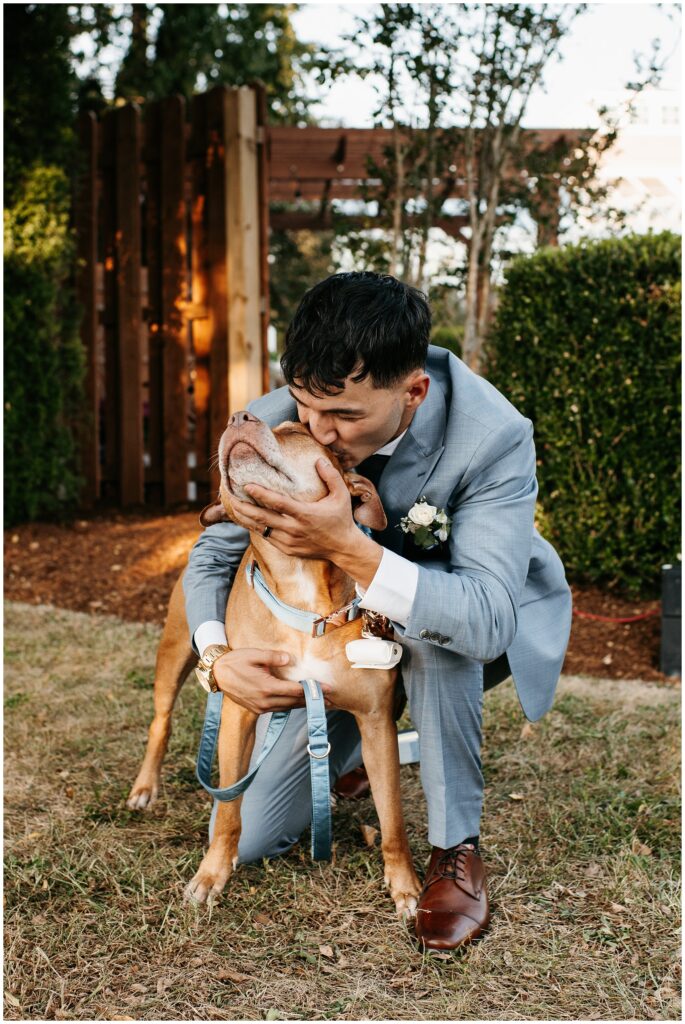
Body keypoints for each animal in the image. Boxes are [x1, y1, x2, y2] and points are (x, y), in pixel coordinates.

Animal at [125, 411, 419, 917]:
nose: (238, 415)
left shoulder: (377, 722)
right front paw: (211, 875)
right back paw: (146, 787)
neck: (298, 586)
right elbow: (229, 810)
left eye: (298, 432)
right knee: (160, 721)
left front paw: (405, 884)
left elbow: (393, 818)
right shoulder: (240, 713)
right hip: (176, 649)